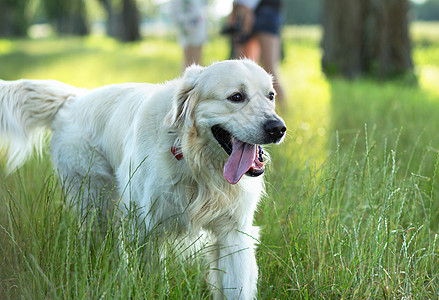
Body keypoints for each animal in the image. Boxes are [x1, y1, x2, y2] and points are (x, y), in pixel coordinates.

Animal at [0, 59, 286, 298]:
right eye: (236, 97)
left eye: (270, 96)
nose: (278, 128)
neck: (194, 162)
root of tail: (74, 98)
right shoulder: (147, 229)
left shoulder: (233, 232)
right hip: (96, 204)